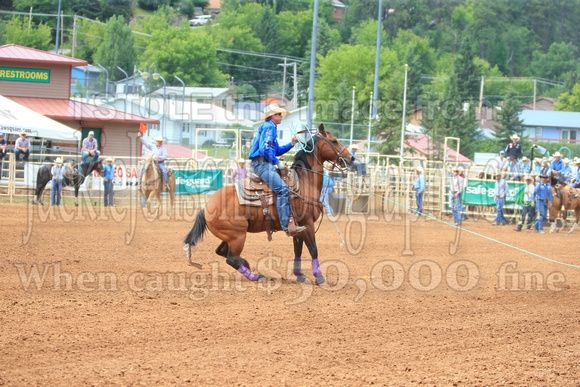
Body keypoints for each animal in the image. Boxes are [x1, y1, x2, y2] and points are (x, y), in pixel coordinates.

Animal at [184, 126, 354, 286]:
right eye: (334, 141)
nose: (351, 158)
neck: (305, 182)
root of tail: (206, 207)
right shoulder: (307, 223)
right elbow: (313, 249)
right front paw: (319, 277)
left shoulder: (297, 227)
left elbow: (298, 249)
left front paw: (299, 274)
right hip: (238, 235)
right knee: (231, 258)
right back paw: (257, 276)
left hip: (229, 235)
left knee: (222, 252)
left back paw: (247, 264)